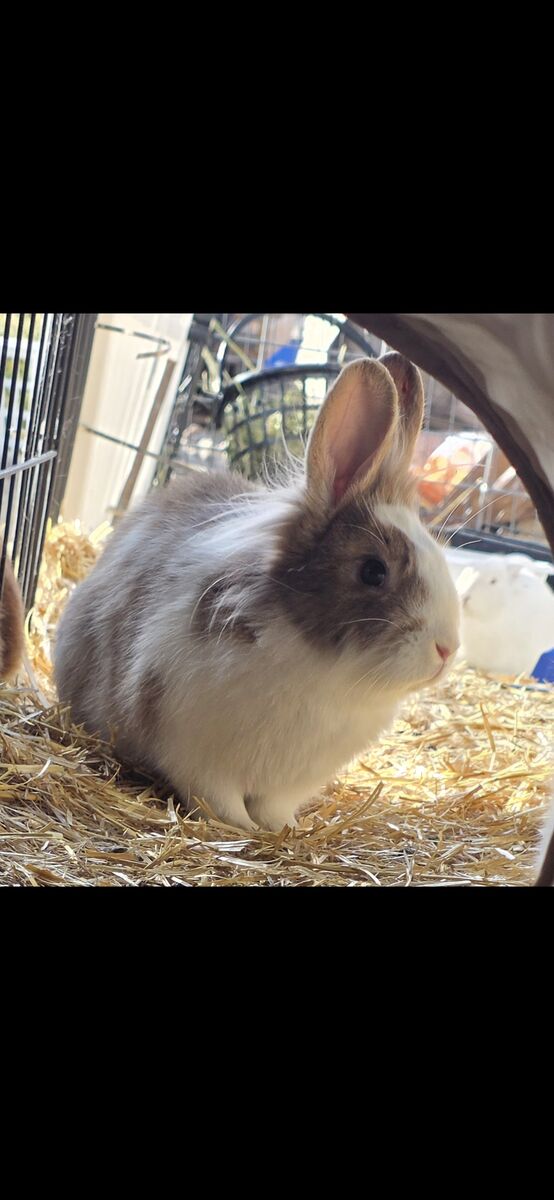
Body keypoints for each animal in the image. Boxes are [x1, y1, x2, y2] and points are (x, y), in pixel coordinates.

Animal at [54, 354, 461, 831]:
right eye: (373, 571)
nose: (447, 649)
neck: (328, 675)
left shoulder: (288, 785)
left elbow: (274, 809)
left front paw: (284, 830)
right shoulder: (197, 757)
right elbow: (220, 803)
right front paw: (243, 830)